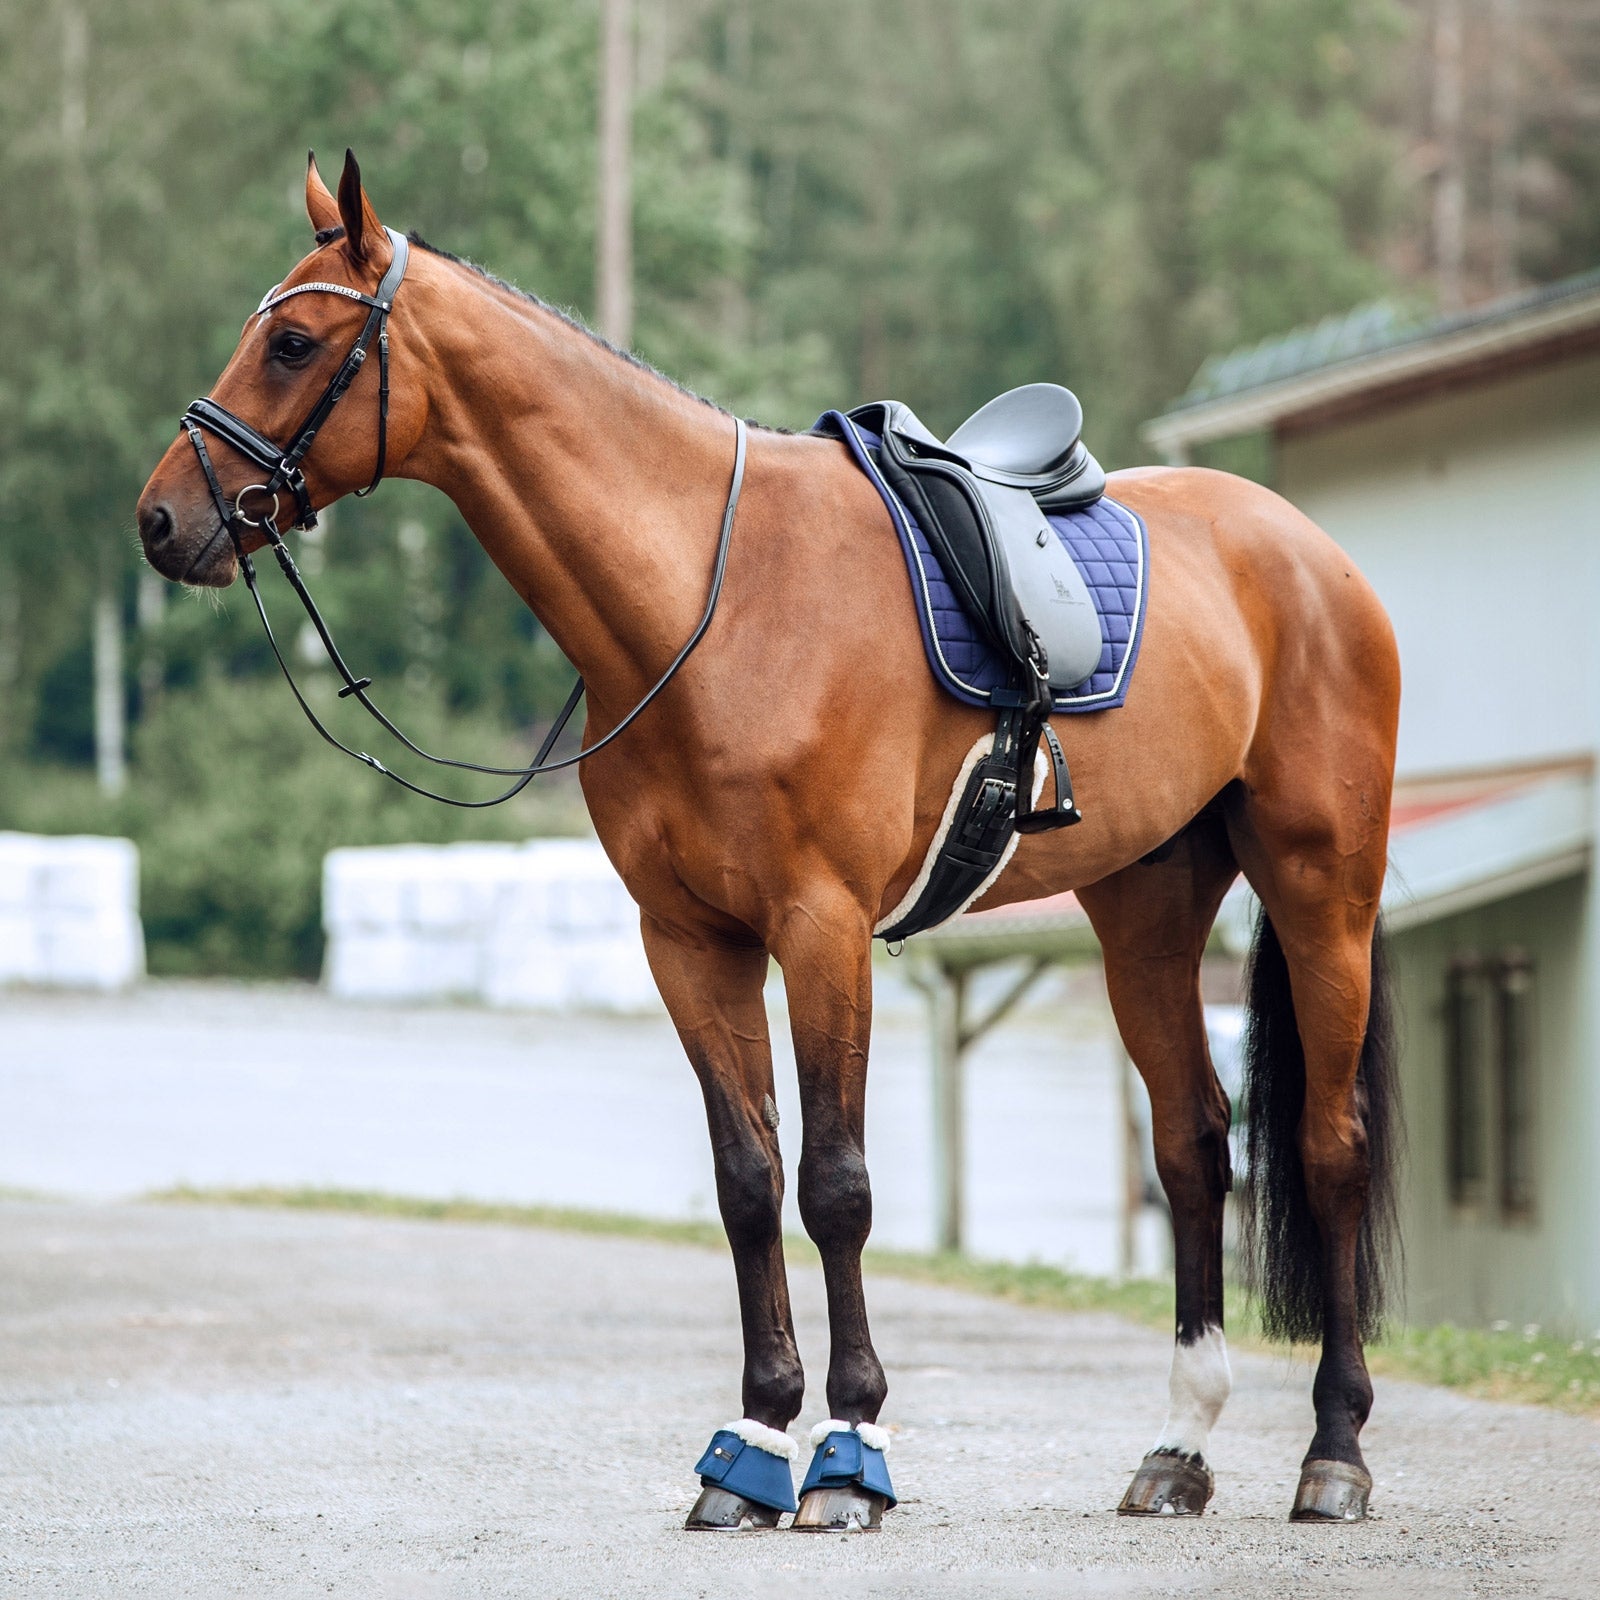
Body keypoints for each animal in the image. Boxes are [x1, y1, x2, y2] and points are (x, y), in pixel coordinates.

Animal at [136, 152, 1401, 1531]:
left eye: (294, 341)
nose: (160, 521)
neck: (713, 598)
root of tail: (1310, 551)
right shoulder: (691, 940)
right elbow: (747, 1181)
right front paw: (749, 1446)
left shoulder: (821, 927)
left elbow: (834, 1183)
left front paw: (849, 1452)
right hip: (1146, 908)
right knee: (1190, 1145)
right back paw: (1178, 1446)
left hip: (1321, 890)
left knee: (1327, 1149)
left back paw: (1333, 1449)